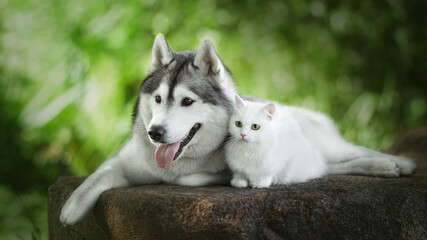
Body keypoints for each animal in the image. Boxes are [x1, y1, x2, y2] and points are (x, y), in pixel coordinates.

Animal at [58, 33, 416, 225]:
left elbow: (190, 180)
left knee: (356, 152)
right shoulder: (124, 162)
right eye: (158, 98)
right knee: (333, 167)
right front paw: (71, 209)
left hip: (329, 145)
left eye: (187, 102)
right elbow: (97, 176)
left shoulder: (218, 172)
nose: (155, 133)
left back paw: (396, 163)